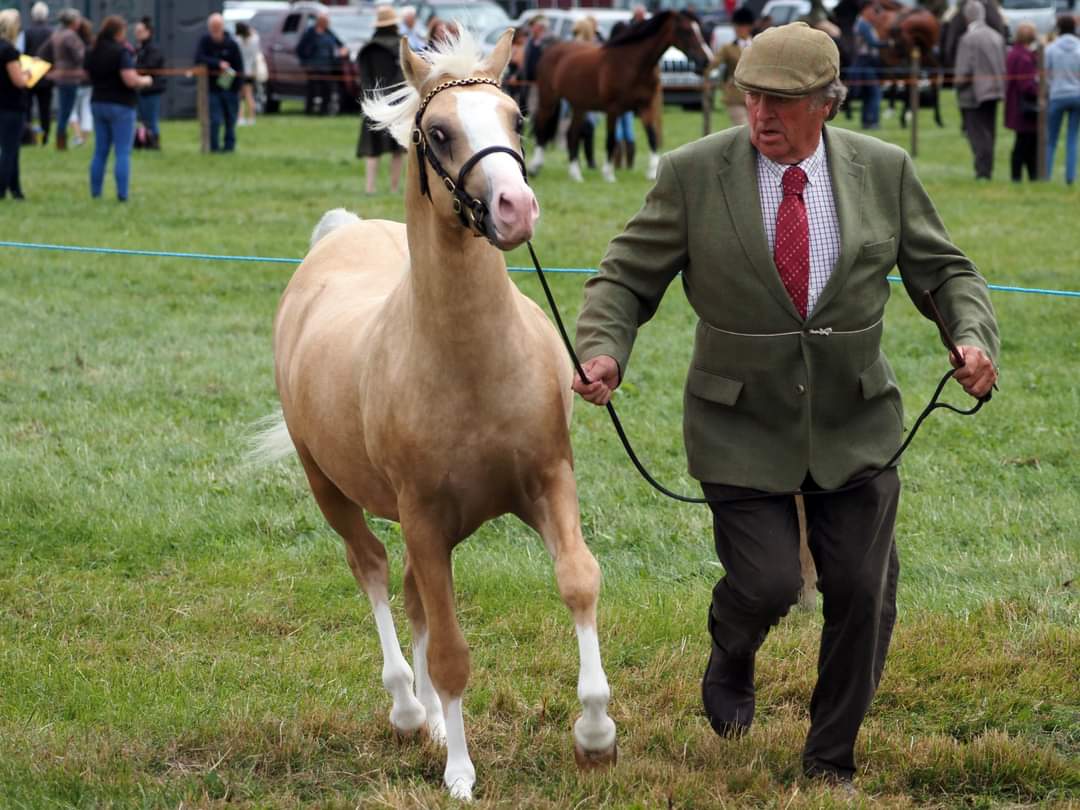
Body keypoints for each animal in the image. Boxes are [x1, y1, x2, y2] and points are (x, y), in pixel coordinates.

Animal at [254, 29, 616, 800]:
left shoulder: (549, 483)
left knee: (414, 596)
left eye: (516, 118)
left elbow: (578, 579)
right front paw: (459, 771)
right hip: (333, 490)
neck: (470, 366)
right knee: (373, 571)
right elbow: (449, 649)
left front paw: (596, 733)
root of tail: (341, 232)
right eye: (441, 133)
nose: (515, 207)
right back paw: (407, 710)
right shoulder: (423, 518)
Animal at [528, 11, 712, 183]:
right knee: (541, 129)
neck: (633, 65)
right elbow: (611, 140)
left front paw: (652, 172)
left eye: (699, 29)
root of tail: (551, 50)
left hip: (579, 106)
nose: (706, 60)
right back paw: (535, 167)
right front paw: (609, 174)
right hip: (548, 100)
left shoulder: (645, 107)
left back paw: (575, 175)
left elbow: (652, 137)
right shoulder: (613, 109)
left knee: (572, 135)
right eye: (686, 31)